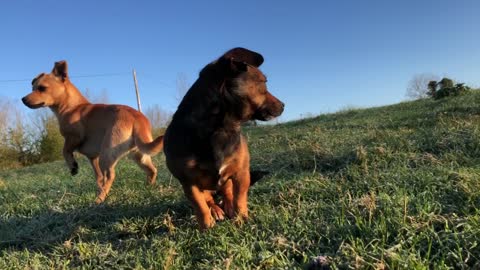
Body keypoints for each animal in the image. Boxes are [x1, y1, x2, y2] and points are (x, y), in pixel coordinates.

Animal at [21, 61, 164, 202]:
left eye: (42, 88)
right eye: (33, 88)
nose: (23, 99)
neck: (71, 107)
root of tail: (137, 118)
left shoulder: (74, 137)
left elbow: (65, 150)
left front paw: (73, 166)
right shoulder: (92, 157)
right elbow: (99, 178)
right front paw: (99, 186)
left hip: (107, 153)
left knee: (111, 175)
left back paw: (99, 199)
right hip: (139, 155)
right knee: (152, 170)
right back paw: (147, 187)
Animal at [164, 47, 284, 229]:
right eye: (264, 82)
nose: (283, 105)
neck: (219, 129)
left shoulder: (241, 174)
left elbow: (239, 199)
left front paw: (241, 219)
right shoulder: (189, 183)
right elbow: (200, 206)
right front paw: (206, 227)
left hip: (227, 180)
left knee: (227, 193)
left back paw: (227, 205)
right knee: (209, 200)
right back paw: (216, 210)